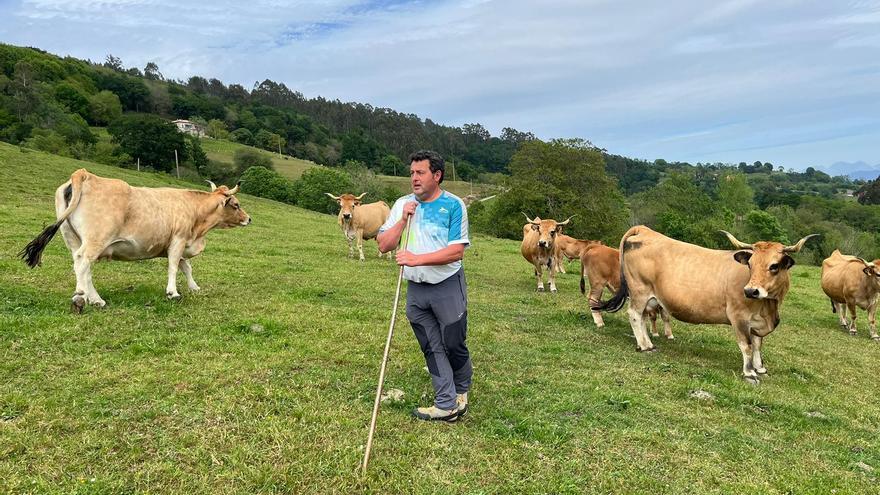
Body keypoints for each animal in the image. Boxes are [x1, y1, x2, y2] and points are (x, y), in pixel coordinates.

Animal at [19, 169, 251, 312]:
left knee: (81, 266)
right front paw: (173, 292)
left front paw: (194, 287)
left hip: (72, 238)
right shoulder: (178, 239)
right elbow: (174, 266)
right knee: (83, 263)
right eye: (236, 205)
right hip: (95, 240)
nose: (249, 218)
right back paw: (85, 298)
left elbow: (186, 266)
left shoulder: (176, 242)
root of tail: (84, 174)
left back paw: (91, 298)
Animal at [592, 226, 820, 384]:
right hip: (640, 291)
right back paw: (645, 346)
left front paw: (760, 368)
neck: (769, 308)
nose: (750, 291)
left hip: (650, 297)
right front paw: (749, 372)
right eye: (750, 264)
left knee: (642, 318)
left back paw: (647, 343)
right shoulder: (739, 317)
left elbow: (757, 345)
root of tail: (646, 231)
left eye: (774, 266)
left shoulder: (756, 322)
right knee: (634, 315)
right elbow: (746, 346)